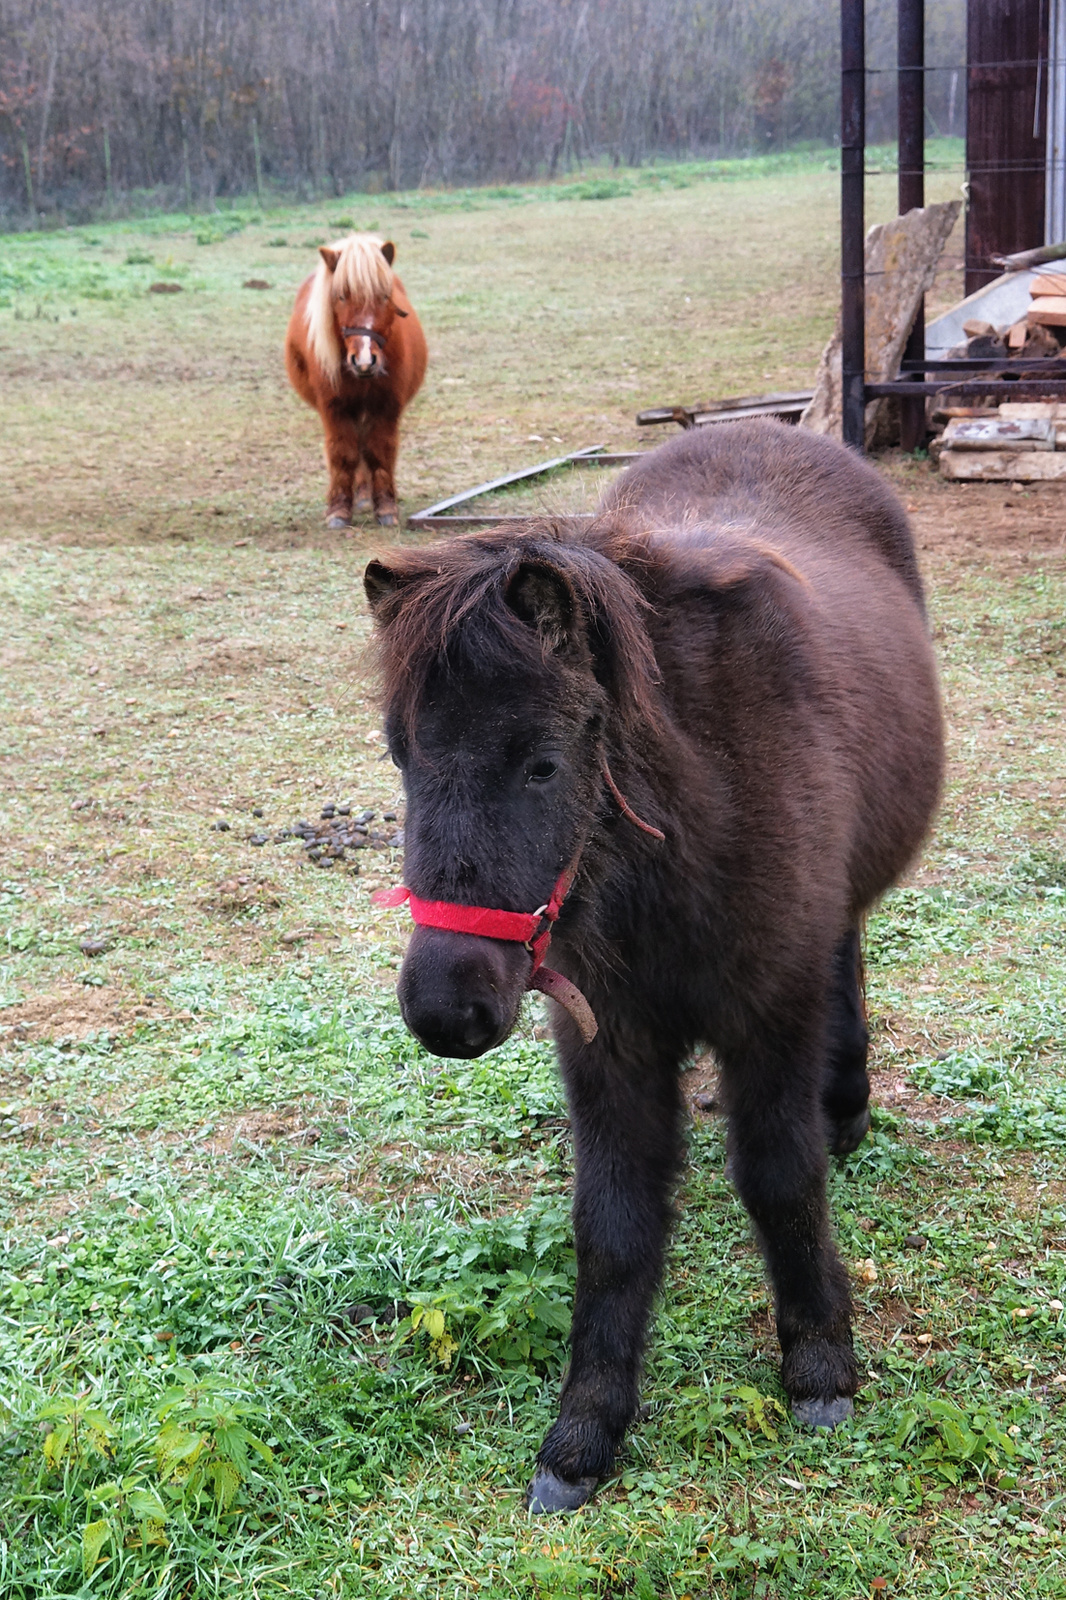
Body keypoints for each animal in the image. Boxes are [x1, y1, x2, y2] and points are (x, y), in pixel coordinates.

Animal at [288, 233, 428, 528]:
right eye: (341, 296)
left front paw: (385, 507)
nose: (364, 360)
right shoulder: (334, 408)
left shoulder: (386, 406)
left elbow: (379, 450)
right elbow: (343, 454)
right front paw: (339, 509)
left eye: (384, 296)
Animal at [363, 422, 941, 1510]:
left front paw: (820, 1366)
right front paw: (583, 1434)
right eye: (401, 757)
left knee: (845, 956)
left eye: (542, 764)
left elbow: (782, 1176)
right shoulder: (611, 1043)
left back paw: (845, 1104)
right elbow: (616, 1223)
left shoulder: (771, 1013)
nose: (445, 1008)